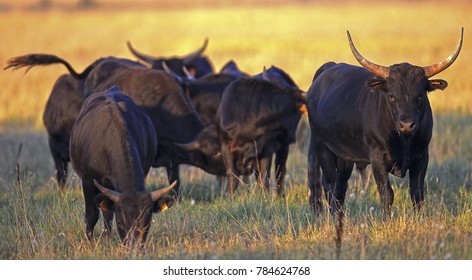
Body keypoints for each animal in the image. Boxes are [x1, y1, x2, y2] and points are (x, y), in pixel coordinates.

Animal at [72, 86, 177, 246]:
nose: (133, 246)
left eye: (146, 224)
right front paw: (89, 242)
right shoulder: (87, 180)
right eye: (121, 223)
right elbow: (91, 214)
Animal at [306, 28, 464, 215]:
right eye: (391, 95)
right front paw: (386, 218)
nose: (407, 125)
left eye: (420, 95)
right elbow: (387, 193)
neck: (404, 140)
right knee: (328, 185)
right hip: (322, 148)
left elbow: (417, 193)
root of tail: (327, 68)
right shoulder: (377, 158)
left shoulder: (422, 156)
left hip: (344, 157)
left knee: (340, 186)